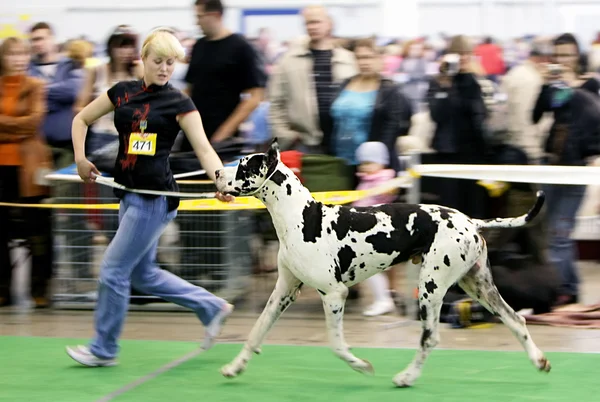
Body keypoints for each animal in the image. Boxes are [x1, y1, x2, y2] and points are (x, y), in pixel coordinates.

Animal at [213, 140, 552, 388]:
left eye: (242, 165)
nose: (216, 172)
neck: (300, 217)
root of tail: (471, 221)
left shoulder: (334, 295)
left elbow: (337, 346)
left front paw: (362, 366)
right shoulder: (283, 291)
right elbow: (256, 332)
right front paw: (233, 367)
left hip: (431, 289)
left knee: (430, 338)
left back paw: (407, 377)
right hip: (479, 287)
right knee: (516, 321)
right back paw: (539, 360)